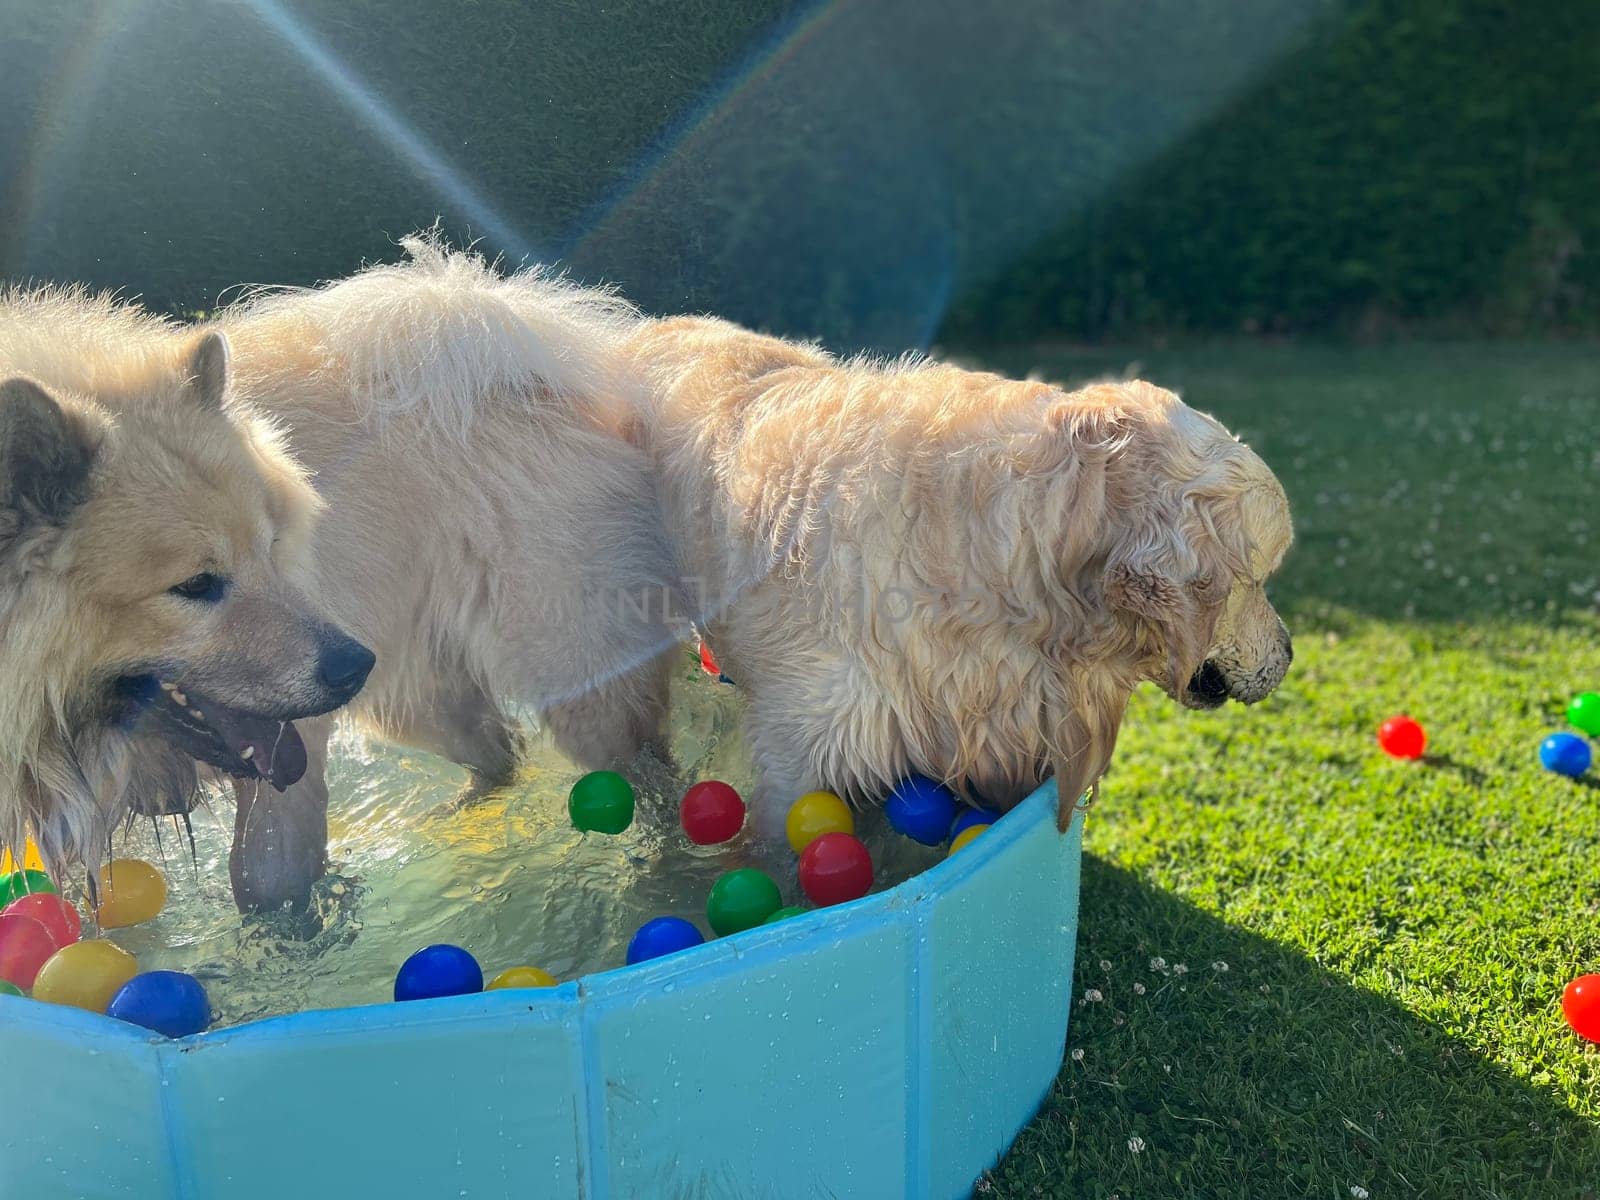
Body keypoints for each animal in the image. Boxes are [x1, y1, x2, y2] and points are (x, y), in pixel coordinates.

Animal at [1, 244, 675, 908]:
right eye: (194, 586)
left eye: (272, 548)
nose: (353, 666)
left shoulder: (286, 757)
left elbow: (268, 884)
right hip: (417, 699)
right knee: (500, 755)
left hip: (576, 683)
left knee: (645, 779)